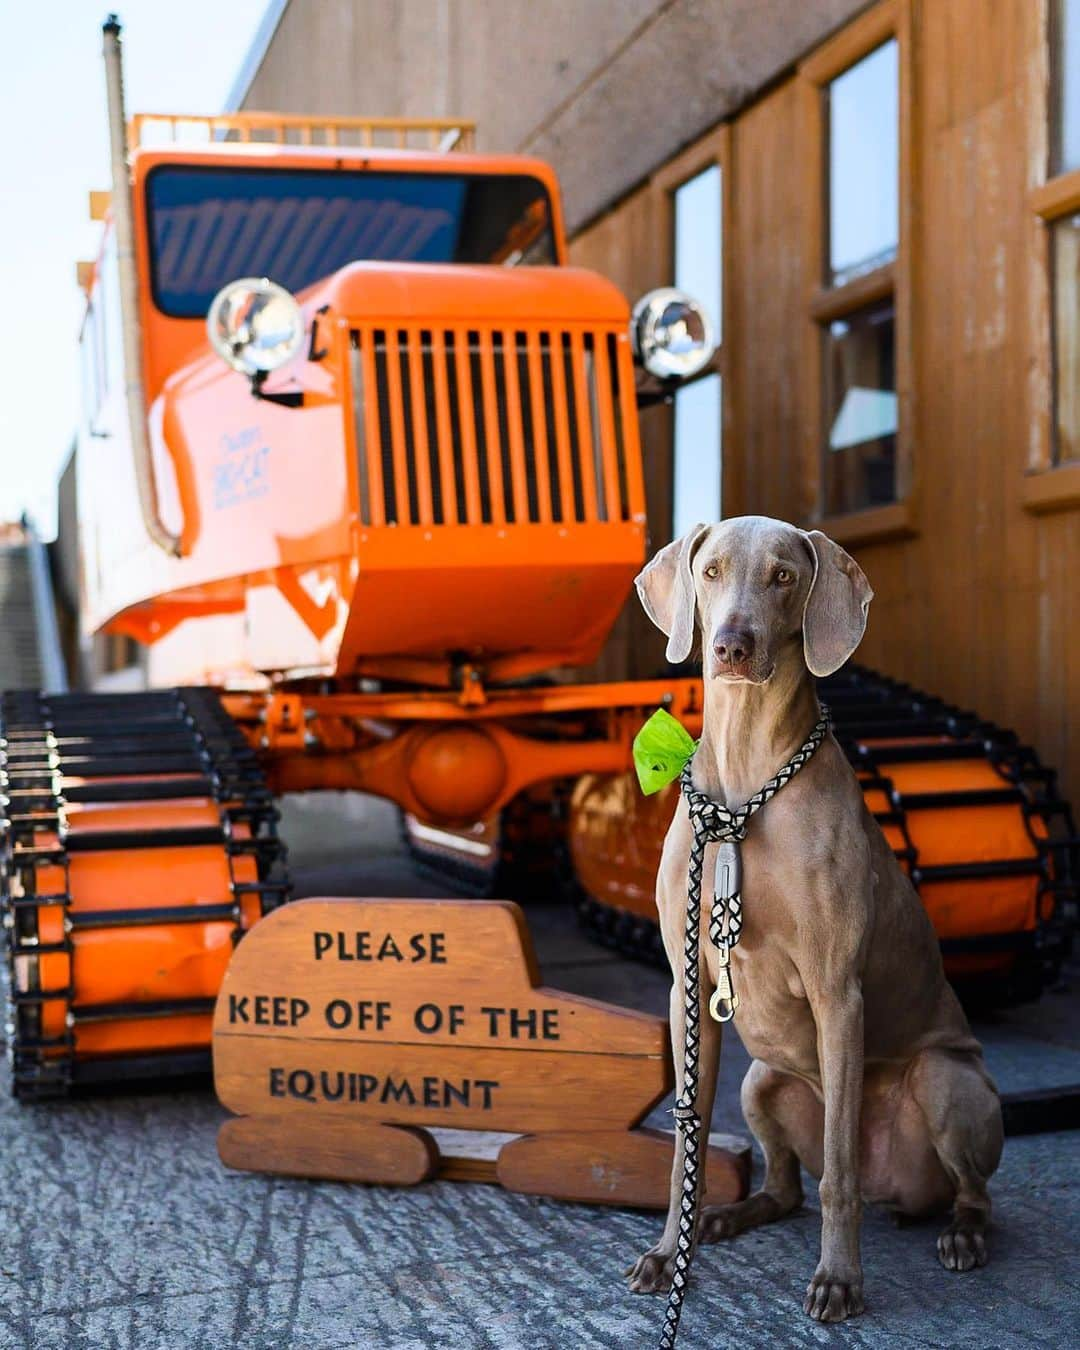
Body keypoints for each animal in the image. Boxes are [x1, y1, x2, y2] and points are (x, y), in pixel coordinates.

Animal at [623, 513, 1004, 1317]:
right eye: (711, 571)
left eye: (784, 577)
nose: (732, 645)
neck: (744, 788)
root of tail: (900, 1191)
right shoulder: (688, 991)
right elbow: (686, 1144)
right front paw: (673, 1252)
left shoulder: (838, 993)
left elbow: (838, 1170)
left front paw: (839, 1279)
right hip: (761, 1080)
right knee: (785, 1185)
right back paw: (732, 1213)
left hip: (945, 1080)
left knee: (960, 1191)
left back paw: (962, 1235)